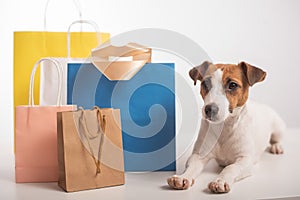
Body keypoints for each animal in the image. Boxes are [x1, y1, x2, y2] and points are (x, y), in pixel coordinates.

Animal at [168, 61, 284, 194]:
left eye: (232, 85)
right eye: (205, 84)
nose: (209, 109)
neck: (224, 128)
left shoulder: (245, 160)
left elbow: (230, 168)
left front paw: (220, 181)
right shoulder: (198, 155)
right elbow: (191, 167)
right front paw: (183, 177)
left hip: (278, 128)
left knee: (277, 139)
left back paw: (277, 146)